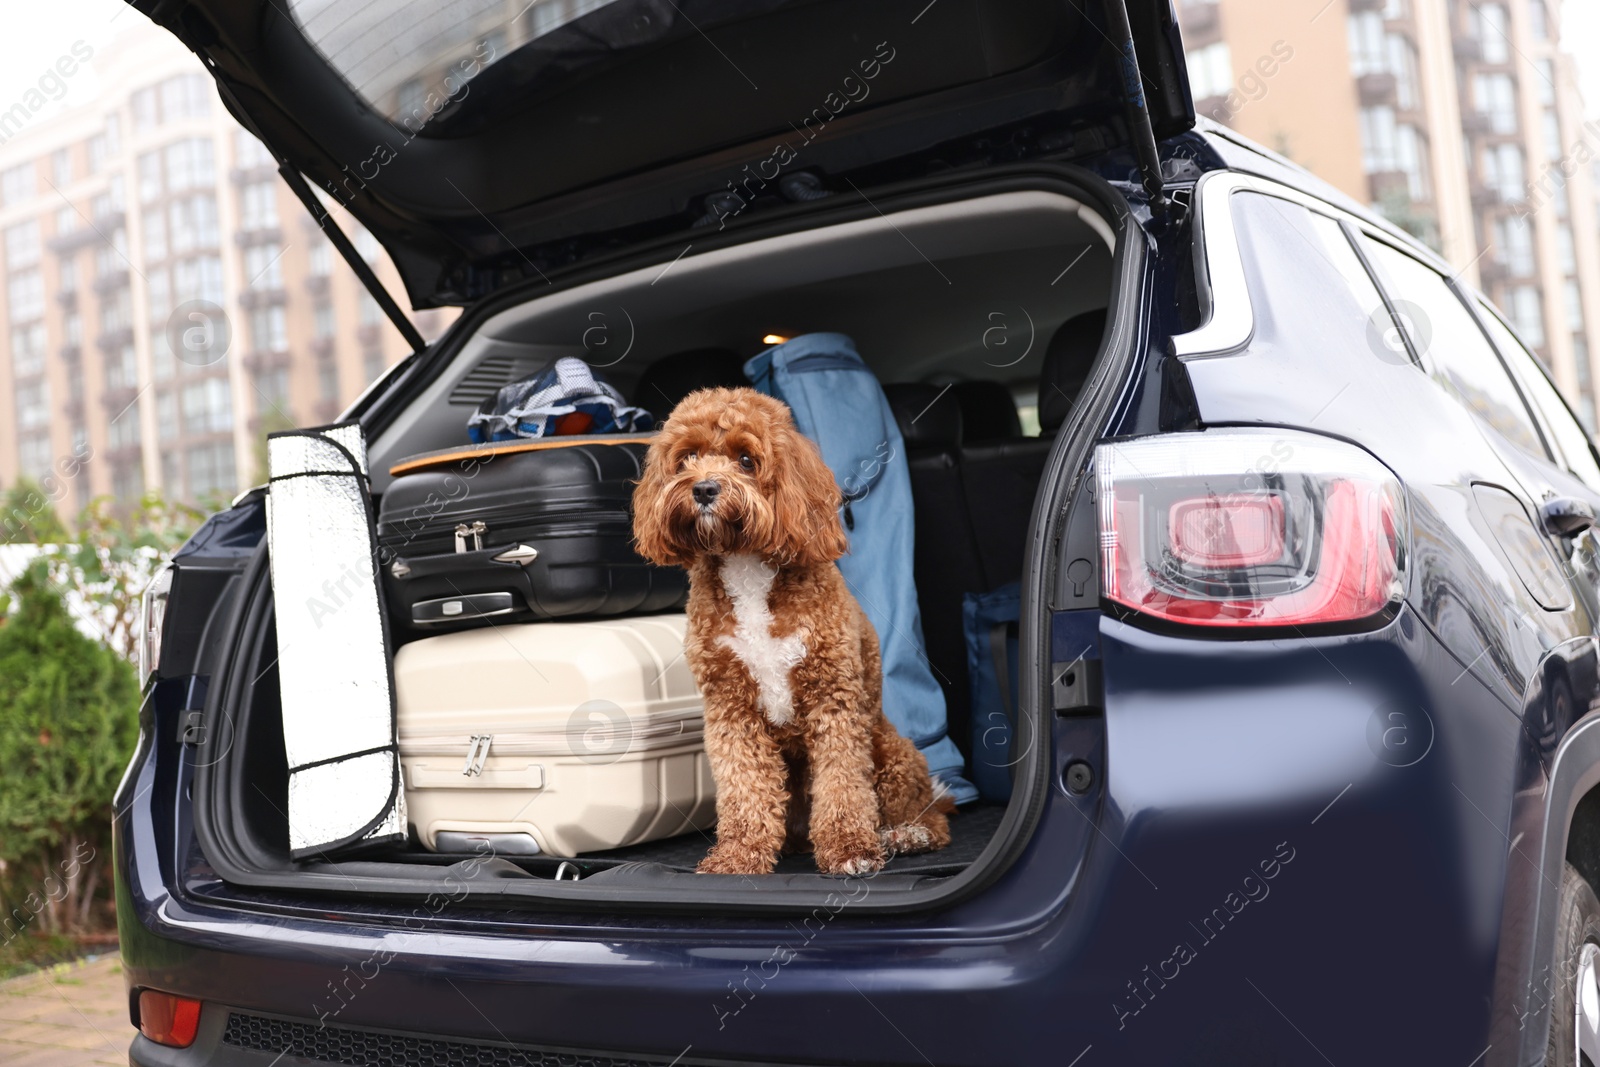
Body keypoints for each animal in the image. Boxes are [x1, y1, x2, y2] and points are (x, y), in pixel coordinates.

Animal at [633, 388, 947, 870]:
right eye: (687, 457)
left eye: (746, 459)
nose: (704, 488)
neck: (746, 566)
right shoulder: (731, 708)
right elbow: (745, 786)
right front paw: (740, 854)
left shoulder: (832, 696)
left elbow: (842, 782)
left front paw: (849, 848)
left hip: (890, 747)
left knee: (931, 815)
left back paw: (905, 834)